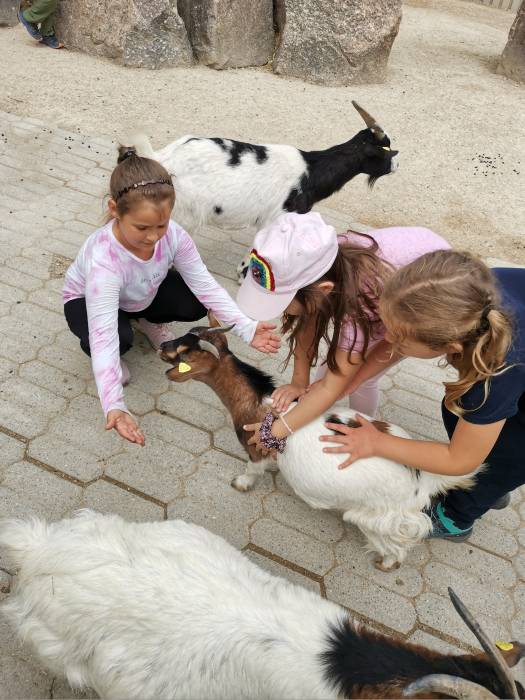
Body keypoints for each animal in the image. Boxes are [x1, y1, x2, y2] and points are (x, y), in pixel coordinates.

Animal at [127, 102, 398, 282]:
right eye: (385, 149)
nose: (396, 165)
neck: (310, 172)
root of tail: (162, 158)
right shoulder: (277, 217)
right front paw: (245, 274)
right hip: (182, 215)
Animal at [160, 326, 478, 572]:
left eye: (184, 351)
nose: (162, 345)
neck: (257, 401)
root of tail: (422, 480)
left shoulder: (254, 447)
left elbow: (252, 468)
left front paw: (241, 483)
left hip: (375, 516)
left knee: (400, 542)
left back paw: (386, 563)